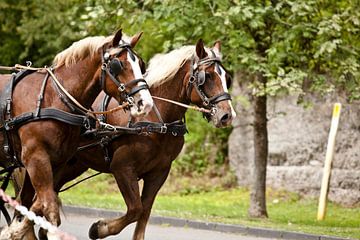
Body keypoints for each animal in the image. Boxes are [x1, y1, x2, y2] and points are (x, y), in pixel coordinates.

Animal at [0, 29, 153, 239]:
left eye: (141, 64)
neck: (54, 98)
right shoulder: (35, 158)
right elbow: (49, 205)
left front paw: (15, 230)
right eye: (117, 65)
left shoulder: (56, 161)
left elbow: (36, 203)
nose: (145, 103)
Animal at [47, 38, 235, 239]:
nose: (227, 115)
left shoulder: (159, 172)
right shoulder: (122, 167)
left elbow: (144, 212)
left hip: (73, 164)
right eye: (206, 76)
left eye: (227, 78)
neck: (156, 119)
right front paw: (99, 228)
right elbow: (135, 209)